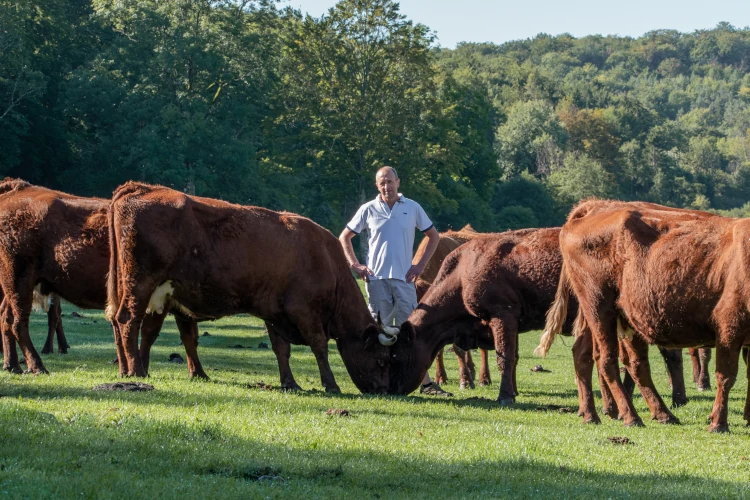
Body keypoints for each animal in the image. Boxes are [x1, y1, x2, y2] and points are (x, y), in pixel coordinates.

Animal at [0, 180, 187, 376]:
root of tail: (17, 188)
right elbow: (148, 332)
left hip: (16, 285)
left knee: (7, 317)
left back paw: (13, 365)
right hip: (19, 280)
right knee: (19, 322)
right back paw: (37, 366)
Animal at [106, 182, 400, 392]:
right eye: (382, 359)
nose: (384, 390)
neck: (324, 257)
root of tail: (141, 187)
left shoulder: (275, 312)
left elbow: (281, 349)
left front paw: (290, 383)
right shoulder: (304, 311)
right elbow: (319, 346)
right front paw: (331, 385)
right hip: (140, 284)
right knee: (128, 321)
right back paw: (135, 370)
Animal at [540, 201, 750, 432]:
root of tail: (597, 205)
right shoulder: (730, 324)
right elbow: (726, 375)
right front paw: (718, 423)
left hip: (610, 315)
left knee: (606, 359)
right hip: (598, 306)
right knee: (607, 360)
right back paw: (631, 416)